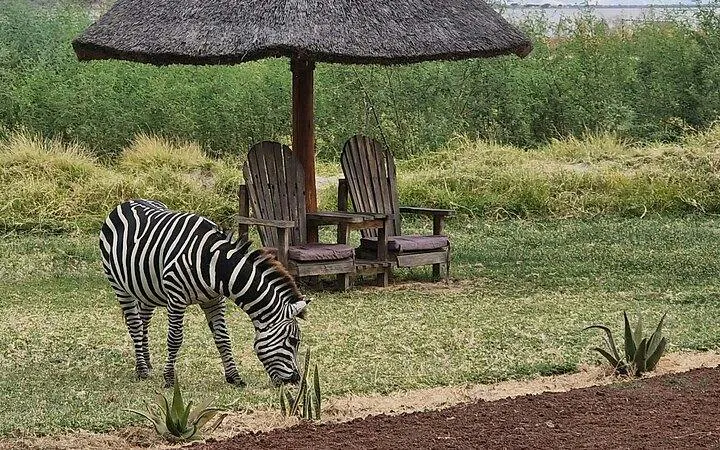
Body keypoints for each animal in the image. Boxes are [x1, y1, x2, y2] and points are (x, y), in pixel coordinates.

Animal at [99, 199, 308, 387]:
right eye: (292, 341)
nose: (295, 380)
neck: (214, 264)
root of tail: (126, 202)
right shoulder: (176, 298)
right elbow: (175, 338)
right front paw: (169, 379)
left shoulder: (214, 300)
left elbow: (223, 337)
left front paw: (234, 377)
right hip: (118, 284)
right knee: (135, 324)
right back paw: (142, 370)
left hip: (146, 289)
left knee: (144, 321)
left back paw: (146, 363)